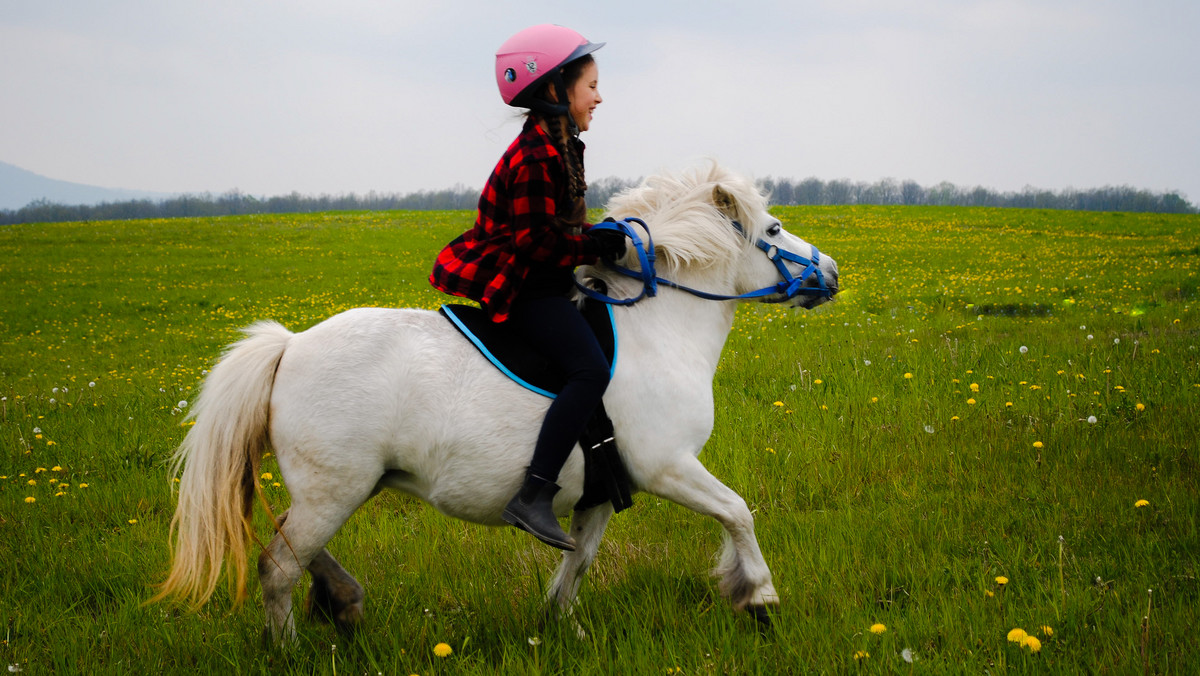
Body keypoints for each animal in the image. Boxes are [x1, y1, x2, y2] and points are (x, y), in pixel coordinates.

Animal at [154, 160, 840, 643]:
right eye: (772, 230)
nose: (830, 272)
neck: (658, 329)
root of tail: (290, 345)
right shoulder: (667, 467)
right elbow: (738, 512)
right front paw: (758, 597)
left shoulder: (603, 491)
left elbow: (579, 563)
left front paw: (564, 628)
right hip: (333, 490)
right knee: (277, 568)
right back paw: (292, 645)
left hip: (340, 488)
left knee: (291, 549)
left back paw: (345, 604)